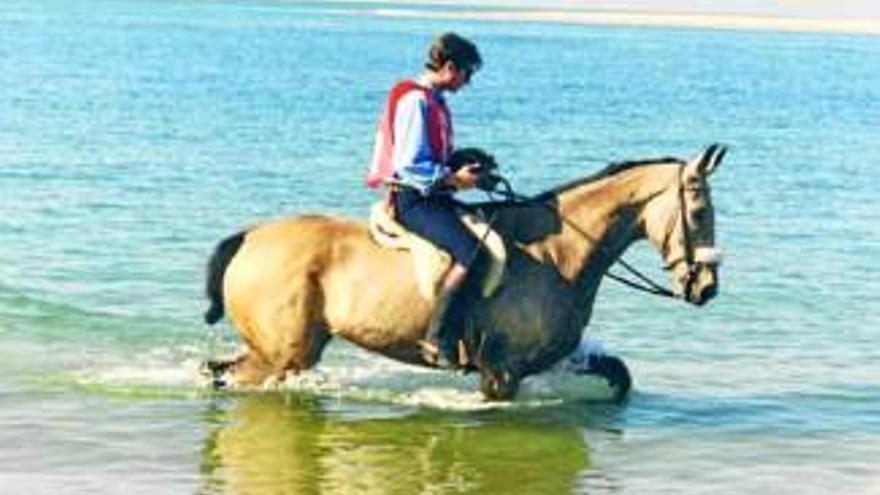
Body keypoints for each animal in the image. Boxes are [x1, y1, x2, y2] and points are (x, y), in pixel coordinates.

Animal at [203, 143, 724, 400]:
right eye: (699, 211)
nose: (706, 287)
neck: (557, 252)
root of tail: (250, 236)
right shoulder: (502, 370)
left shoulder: (552, 357)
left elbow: (619, 374)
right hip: (282, 353)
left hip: (289, 350)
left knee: (219, 371)